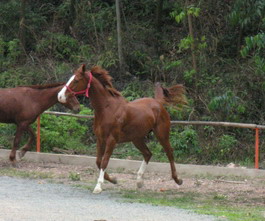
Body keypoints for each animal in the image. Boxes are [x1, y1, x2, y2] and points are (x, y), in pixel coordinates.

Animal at [57, 64, 186, 193]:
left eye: (76, 80)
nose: (60, 96)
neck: (107, 109)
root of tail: (158, 102)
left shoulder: (111, 140)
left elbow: (104, 162)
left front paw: (98, 186)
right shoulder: (100, 139)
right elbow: (98, 161)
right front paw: (113, 180)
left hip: (161, 134)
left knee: (169, 153)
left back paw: (178, 180)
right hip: (137, 138)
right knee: (148, 154)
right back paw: (139, 182)